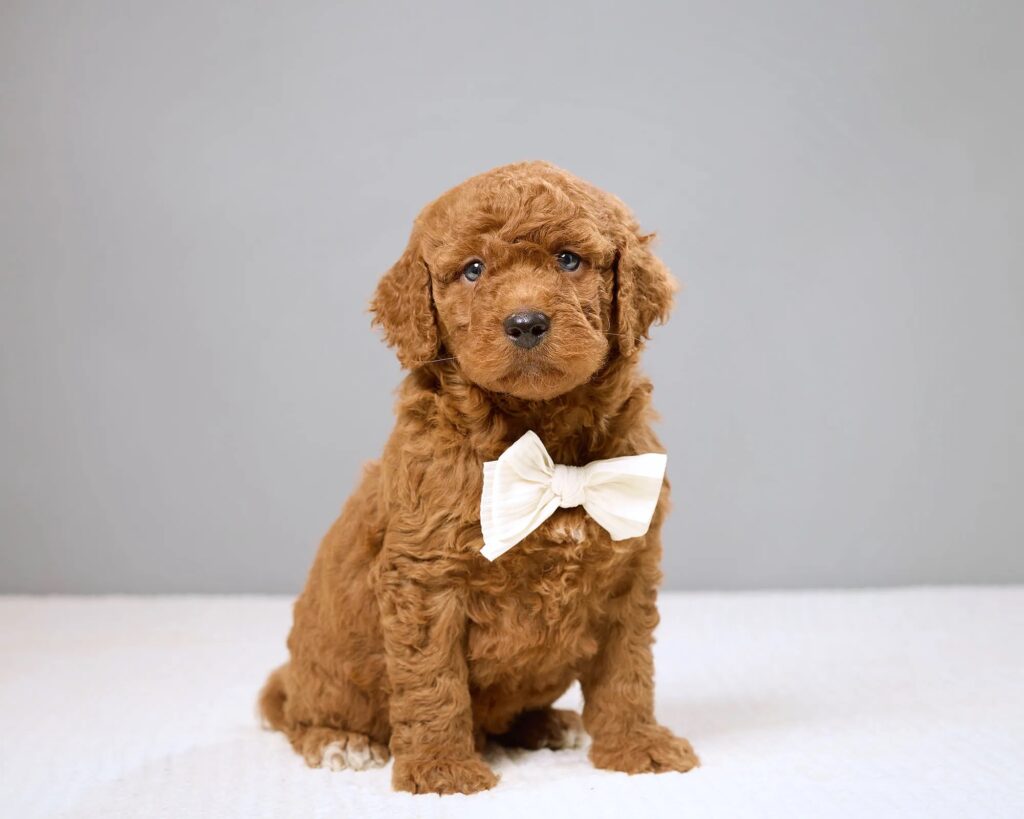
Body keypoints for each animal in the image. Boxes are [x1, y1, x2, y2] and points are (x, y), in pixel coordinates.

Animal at [260, 159, 700, 794]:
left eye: (568, 259)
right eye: (473, 270)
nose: (526, 323)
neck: (540, 441)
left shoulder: (628, 569)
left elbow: (629, 672)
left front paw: (637, 746)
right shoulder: (426, 580)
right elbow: (433, 681)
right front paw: (441, 769)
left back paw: (548, 723)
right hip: (326, 671)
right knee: (299, 713)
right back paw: (339, 741)